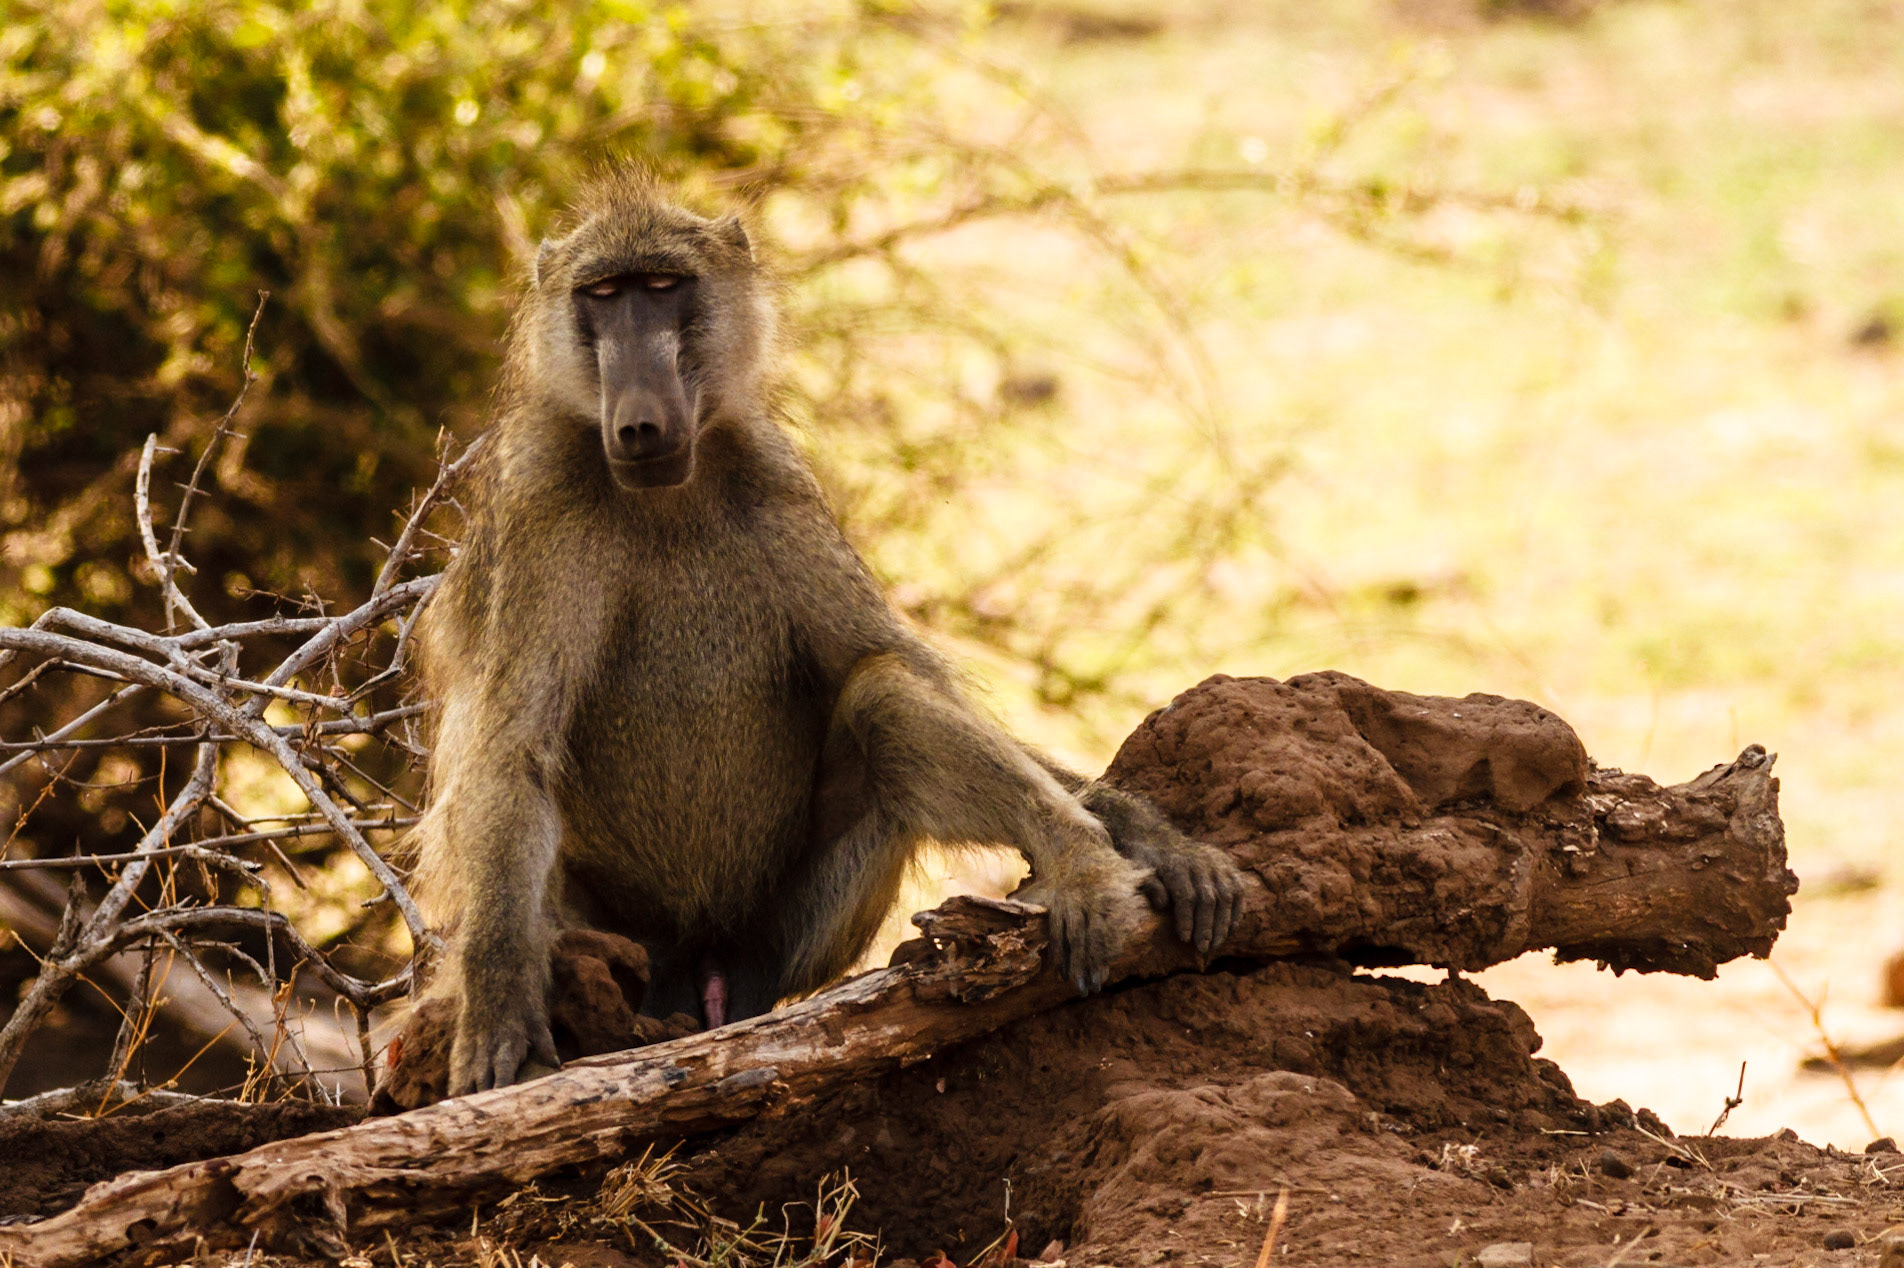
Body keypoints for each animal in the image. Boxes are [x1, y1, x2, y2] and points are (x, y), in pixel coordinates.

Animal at [409, 170, 1246, 1095]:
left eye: (663, 287)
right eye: (601, 296)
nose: (638, 423)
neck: (666, 496)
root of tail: (704, 973)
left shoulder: (779, 488)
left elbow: (908, 670)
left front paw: (1152, 836)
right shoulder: (539, 513)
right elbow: (513, 753)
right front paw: (496, 1010)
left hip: (787, 939)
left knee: (884, 694)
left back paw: (1086, 871)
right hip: (622, 939)